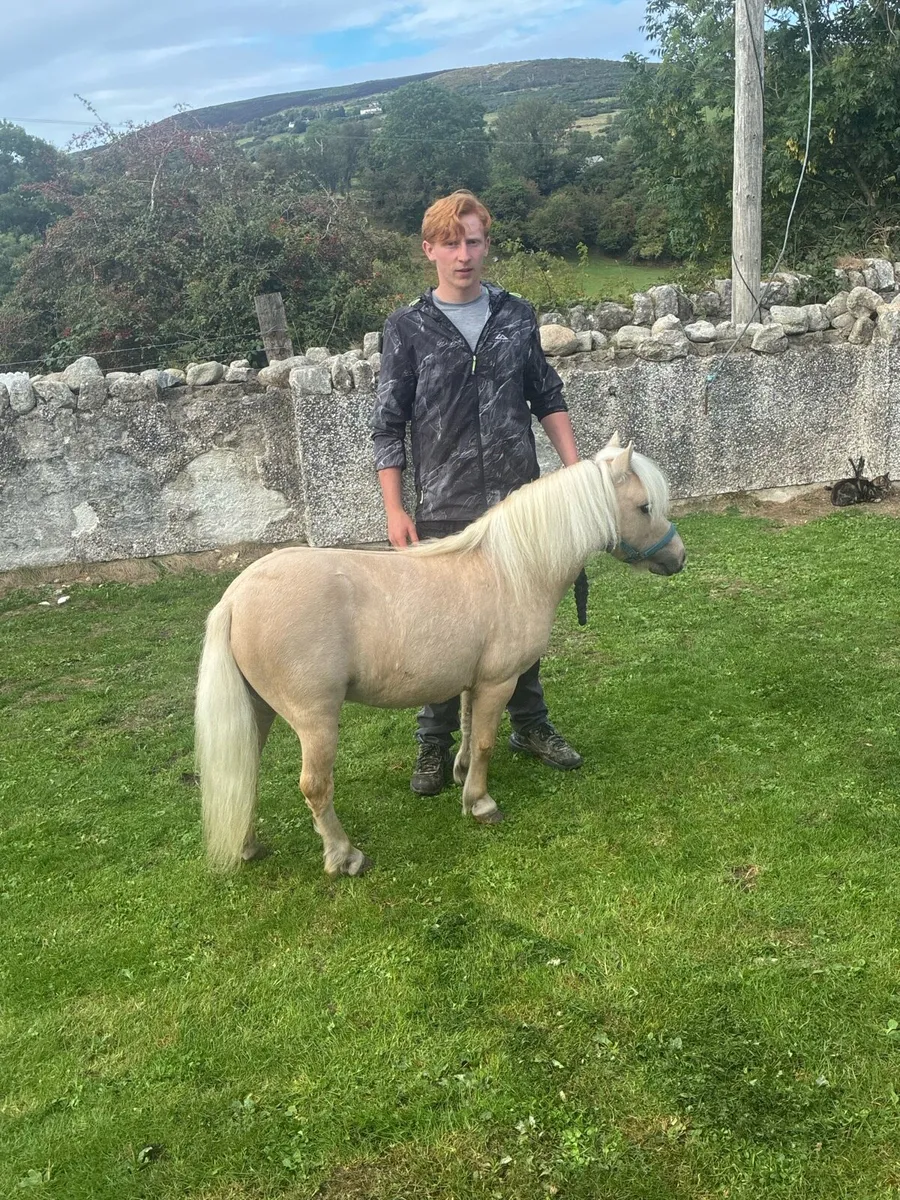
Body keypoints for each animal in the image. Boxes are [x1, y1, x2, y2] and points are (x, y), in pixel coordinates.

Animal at [195, 435, 686, 877]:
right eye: (644, 506)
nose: (679, 558)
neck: (513, 569)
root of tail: (235, 597)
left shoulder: (474, 681)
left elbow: (468, 728)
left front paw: (461, 775)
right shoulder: (499, 681)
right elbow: (486, 741)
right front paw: (480, 803)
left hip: (257, 710)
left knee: (243, 775)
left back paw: (248, 846)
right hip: (315, 721)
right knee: (315, 787)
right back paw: (344, 857)